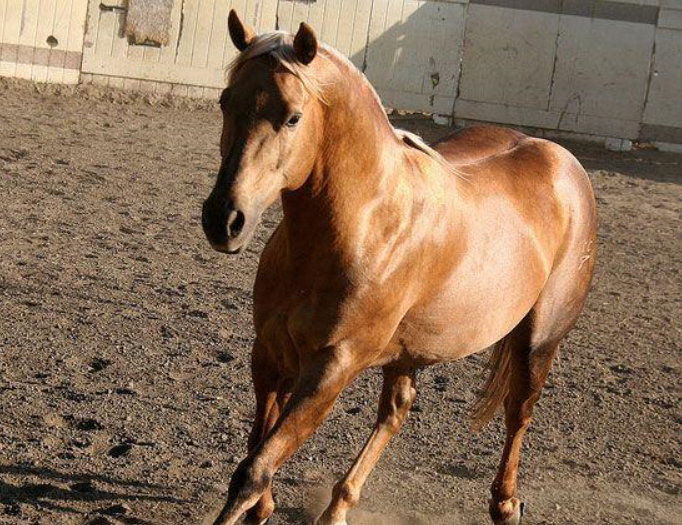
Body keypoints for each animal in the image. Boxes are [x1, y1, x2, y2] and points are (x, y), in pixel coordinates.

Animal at [201, 11, 596, 525]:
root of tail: (562, 161)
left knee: (518, 412)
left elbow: (253, 469)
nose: (224, 219)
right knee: (397, 410)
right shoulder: (268, 353)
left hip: (539, 339)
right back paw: (338, 506)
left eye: (293, 116)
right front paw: (266, 506)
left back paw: (505, 504)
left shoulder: (331, 368)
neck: (362, 227)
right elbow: (258, 449)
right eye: (226, 102)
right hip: (410, 351)